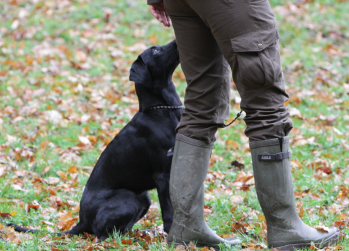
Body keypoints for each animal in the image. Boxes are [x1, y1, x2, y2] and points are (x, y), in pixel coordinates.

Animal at [8, 40, 182, 239]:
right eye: (155, 50)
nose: (176, 41)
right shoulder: (162, 175)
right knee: (102, 233)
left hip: (143, 197)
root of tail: (81, 221)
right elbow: (168, 210)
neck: (162, 110)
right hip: (128, 197)